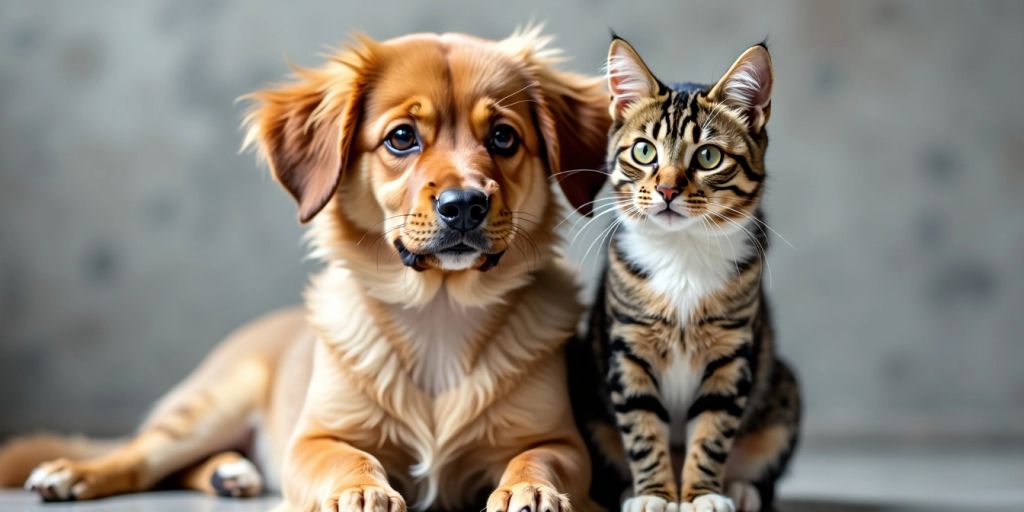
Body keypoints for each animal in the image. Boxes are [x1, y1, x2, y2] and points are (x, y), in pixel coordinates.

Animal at [0, 29, 606, 512]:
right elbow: (348, 459)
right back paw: (77, 473)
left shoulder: (559, 440)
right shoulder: (313, 438)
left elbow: (538, 460)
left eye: (504, 137)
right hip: (210, 406)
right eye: (402, 137)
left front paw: (531, 489)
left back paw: (229, 474)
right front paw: (362, 490)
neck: (439, 310)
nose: (464, 205)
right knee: (142, 457)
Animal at [569, 37, 798, 512]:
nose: (668, 189)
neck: (683, 252)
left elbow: (713, 430)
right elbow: (641, 426)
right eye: (643, 151)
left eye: (708, 156)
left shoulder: (731, 350)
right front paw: (653, 495)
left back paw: (741, 488)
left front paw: (702, 494)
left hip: (782, 388)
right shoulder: (628, 346)